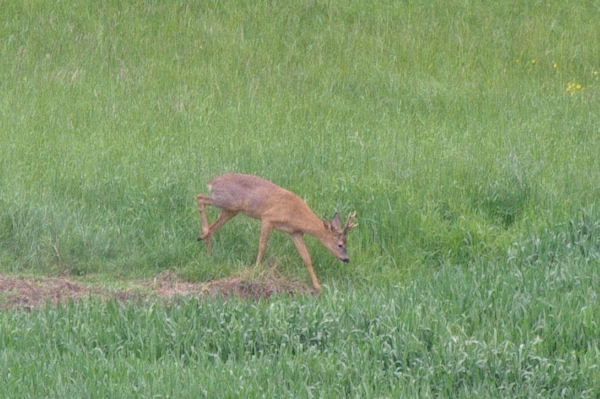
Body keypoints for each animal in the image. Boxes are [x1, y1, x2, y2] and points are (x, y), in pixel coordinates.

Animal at [196, 173, 356, 292]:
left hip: (231, 209)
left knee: (212, 225)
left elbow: (306, 258)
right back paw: (203, 235)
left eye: (346, 242)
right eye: (340, 244)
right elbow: (262, 246)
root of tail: (212, 182)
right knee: (199, 197)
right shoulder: (268, 218)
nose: (347, 259)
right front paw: (256, 269)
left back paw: (206, 242)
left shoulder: (295, 232)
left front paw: (317, 286)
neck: (296, 214)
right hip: (227, 201)